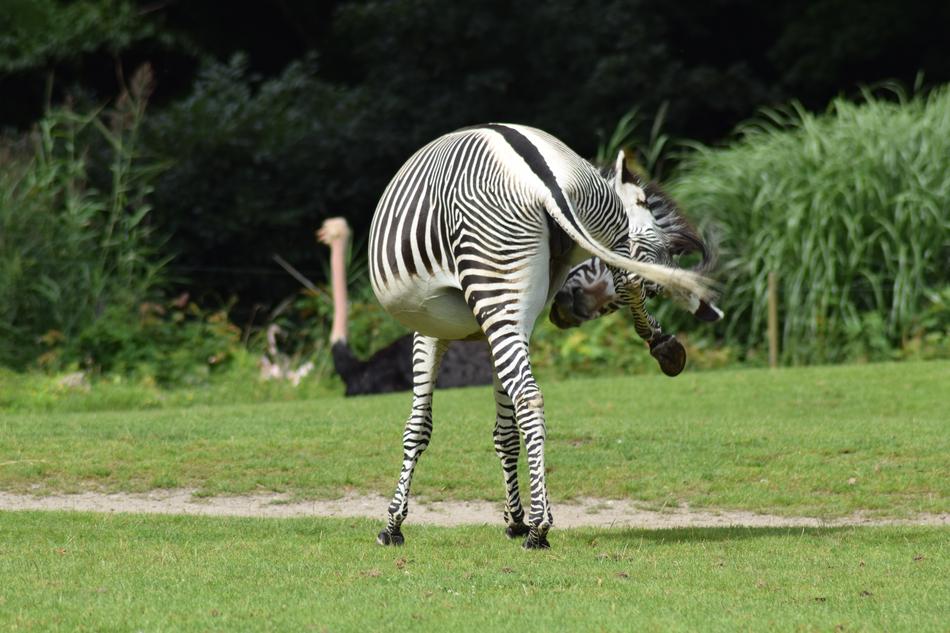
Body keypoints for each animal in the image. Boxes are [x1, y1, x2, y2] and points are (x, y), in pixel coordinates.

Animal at [368, 123, 721, 549]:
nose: (571, 309)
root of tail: (544, 180)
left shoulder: (430, 330)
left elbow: (418, 427)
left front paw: (393, 524)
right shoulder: (502, 328)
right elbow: (504, 432)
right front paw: (513, 518)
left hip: (497, 285)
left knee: (530, 397)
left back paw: (540, 528)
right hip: (584, 243)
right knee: (622, 286)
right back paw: (663, 347)